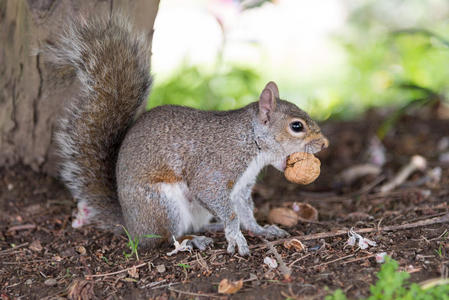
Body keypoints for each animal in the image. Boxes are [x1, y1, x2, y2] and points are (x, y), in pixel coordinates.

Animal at [43, 13, 326, 253]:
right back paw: (192, 240)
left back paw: (210, 228)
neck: (251, 140)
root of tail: (132, 228)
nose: (323, 144)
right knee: (166, 238)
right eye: (297, 126)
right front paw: (236, 236)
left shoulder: (242, 187)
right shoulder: (215, 169)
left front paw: (261, 229)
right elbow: (225, 207)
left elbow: (245, 211)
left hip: (192, 209)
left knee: (194, 224)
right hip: (163, 205)